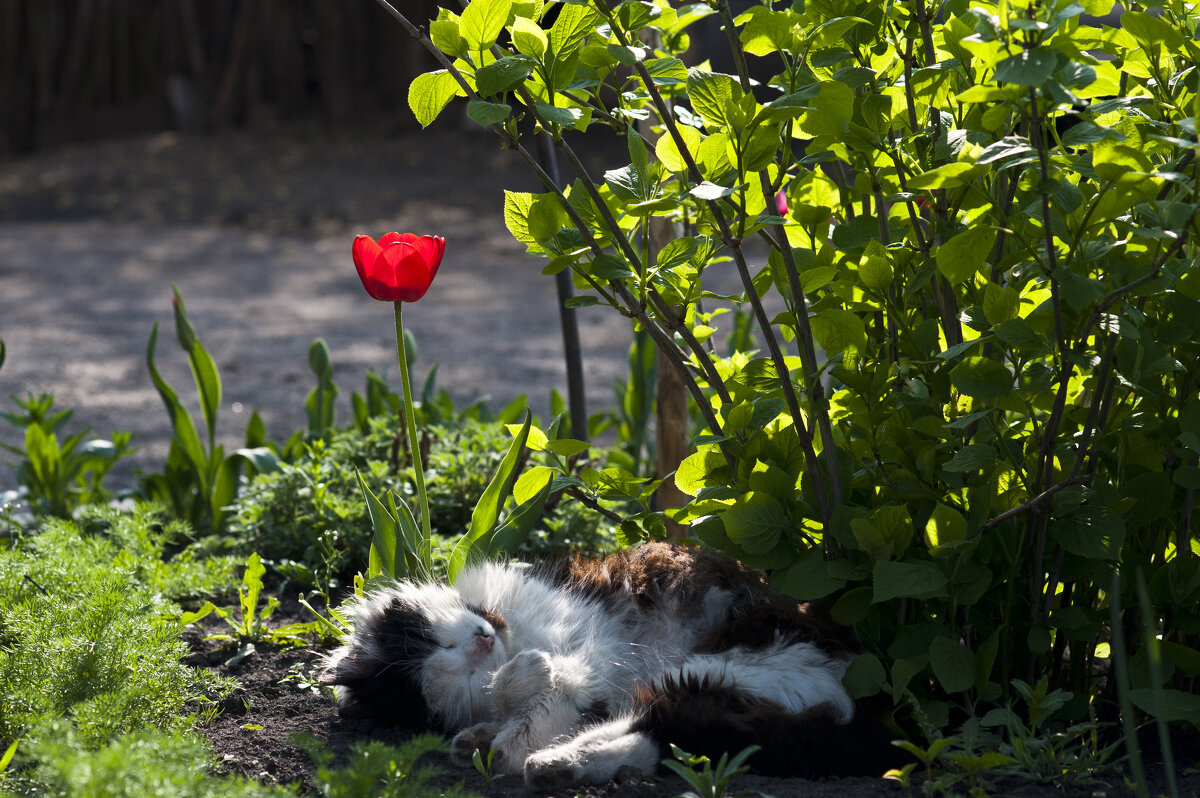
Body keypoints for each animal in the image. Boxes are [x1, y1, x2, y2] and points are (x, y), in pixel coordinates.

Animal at [319, 542, 902, 782]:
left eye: (437, 642)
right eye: (452, 665)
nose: (481, 642)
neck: (511, 628)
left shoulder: (590, 646)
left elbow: (539, 686)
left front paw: (508, 720)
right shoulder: (590, 668)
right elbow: (532, 697)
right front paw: (490, 731)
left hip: (716, 670)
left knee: (661, 725)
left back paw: (541, 759)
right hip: (713, 683)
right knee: (665, 736)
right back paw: (552, 764)